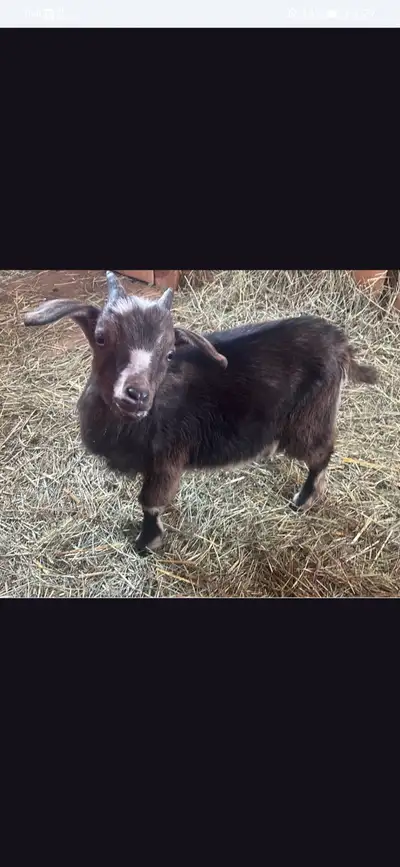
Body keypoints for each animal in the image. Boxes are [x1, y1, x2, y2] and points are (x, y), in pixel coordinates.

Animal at [24, 271, 378, 552]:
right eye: (100, 338)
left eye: (169, 353)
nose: (136, 395)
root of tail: (339, 341)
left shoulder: (167, 458)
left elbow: (150, 502)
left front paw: (146, 543)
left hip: (311, 416)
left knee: (321, 453)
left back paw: (304, 499)